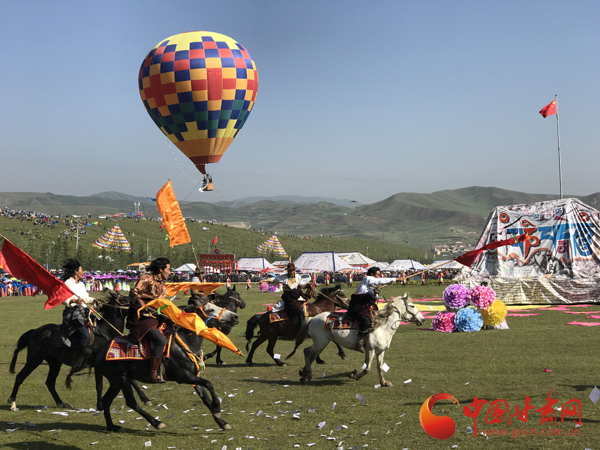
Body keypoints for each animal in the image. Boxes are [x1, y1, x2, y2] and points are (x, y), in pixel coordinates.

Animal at [7, 292, 152, 412]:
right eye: (128, 301)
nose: (145, 310)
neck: (105, 332)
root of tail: (35, 332)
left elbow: (131, 380)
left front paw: (146, 399)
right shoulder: (100, 366)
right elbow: (99, 386)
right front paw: (100, 406)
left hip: (55, 363)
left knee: (50, 383)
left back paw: (61, 403)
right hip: (34, 359)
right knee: (20, 377)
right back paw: (12, 402)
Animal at [288, 294, 424, 384]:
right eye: (412, 305)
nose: (422, 319)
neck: (382, 326)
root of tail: (313, 318)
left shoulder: (381, 351)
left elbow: (380, 367)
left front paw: (384, 382)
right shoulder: (370, 350)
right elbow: (367, 368)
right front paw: (354, 375)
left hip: (321, 344)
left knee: (311, 355)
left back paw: (304, 375)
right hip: (320, 343)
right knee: (307, 352)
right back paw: (307, 375)